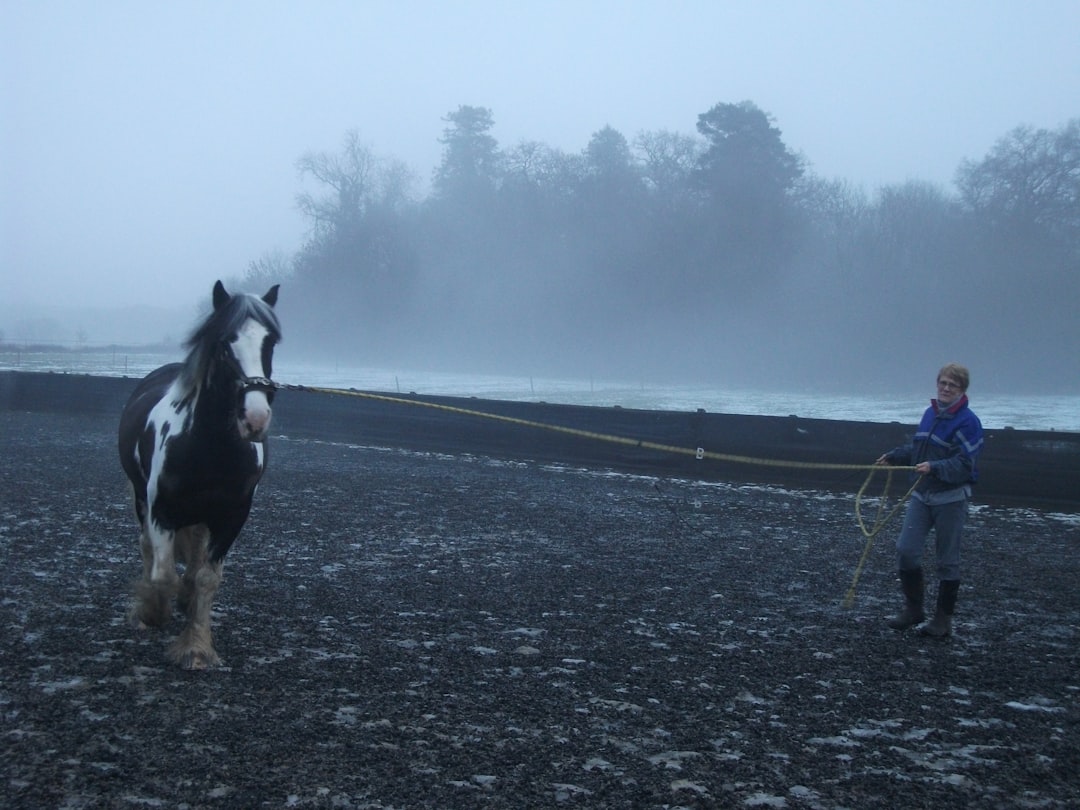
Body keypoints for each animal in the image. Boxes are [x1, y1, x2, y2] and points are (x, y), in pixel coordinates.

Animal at [117, 282, 282, 669]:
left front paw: (196, 647)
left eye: (270, 341)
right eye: (224, 343)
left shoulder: (231, 516)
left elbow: (206, 578)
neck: (209, 448)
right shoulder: (160, 511)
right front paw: (152, 611)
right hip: (140, 499)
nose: (255, 419)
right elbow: (163, 575)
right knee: (147, 548)